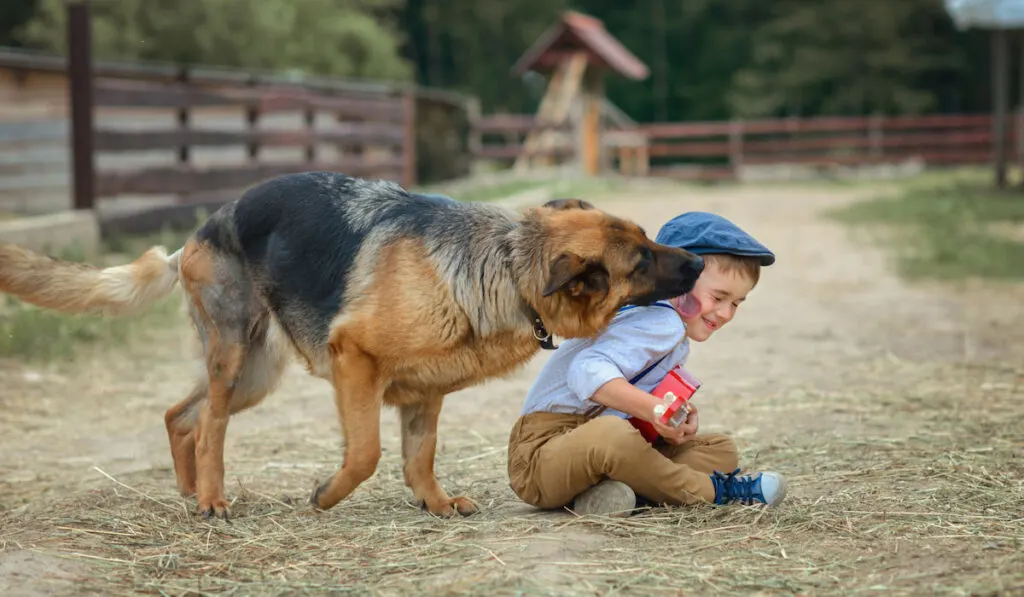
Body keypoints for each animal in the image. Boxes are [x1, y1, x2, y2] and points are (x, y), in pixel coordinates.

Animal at [0, 172, 704, 518]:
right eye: (642, 260)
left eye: (647, 238)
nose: (699, 263)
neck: (503, 263)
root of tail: (204, 228)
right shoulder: (355, 363)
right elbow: (365, 454)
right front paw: (325, 496)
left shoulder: (425, 394)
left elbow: (419, 457)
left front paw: (435, 505)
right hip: (235, 359)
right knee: (212, 427)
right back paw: (211, 497)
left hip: (256, 373)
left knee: (182, 416)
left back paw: (188, 491)